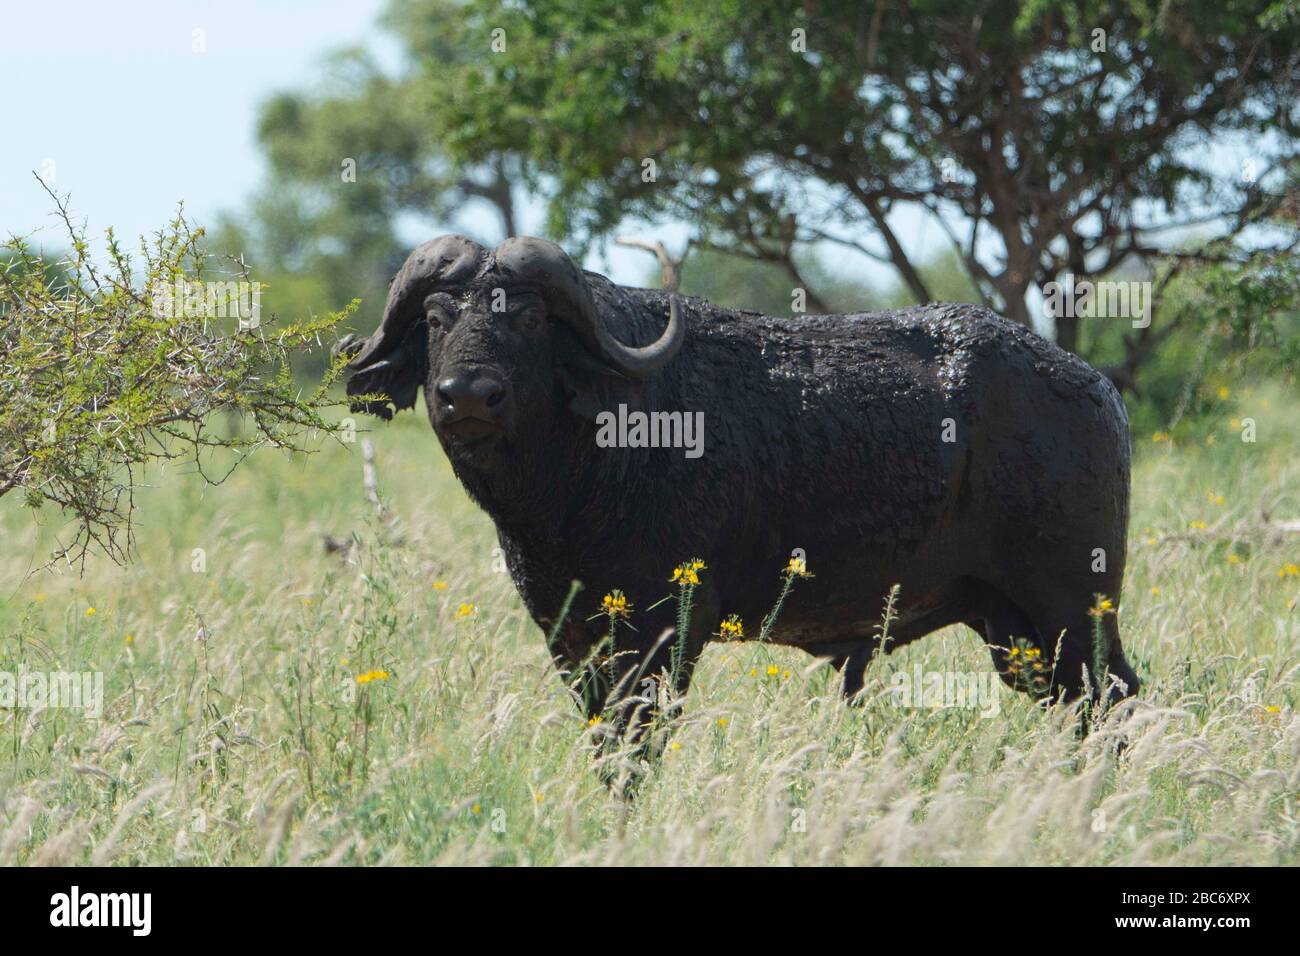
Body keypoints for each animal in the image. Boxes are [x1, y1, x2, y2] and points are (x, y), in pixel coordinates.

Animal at [343, 238, 1138, 733]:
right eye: (437, 318)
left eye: (531, 317)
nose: (468, 396)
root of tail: (1095, 387)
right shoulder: (570, 639)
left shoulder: (663, 631)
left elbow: (637, 743)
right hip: (1013, 629)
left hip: (1074, 607)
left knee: (1115, 697)